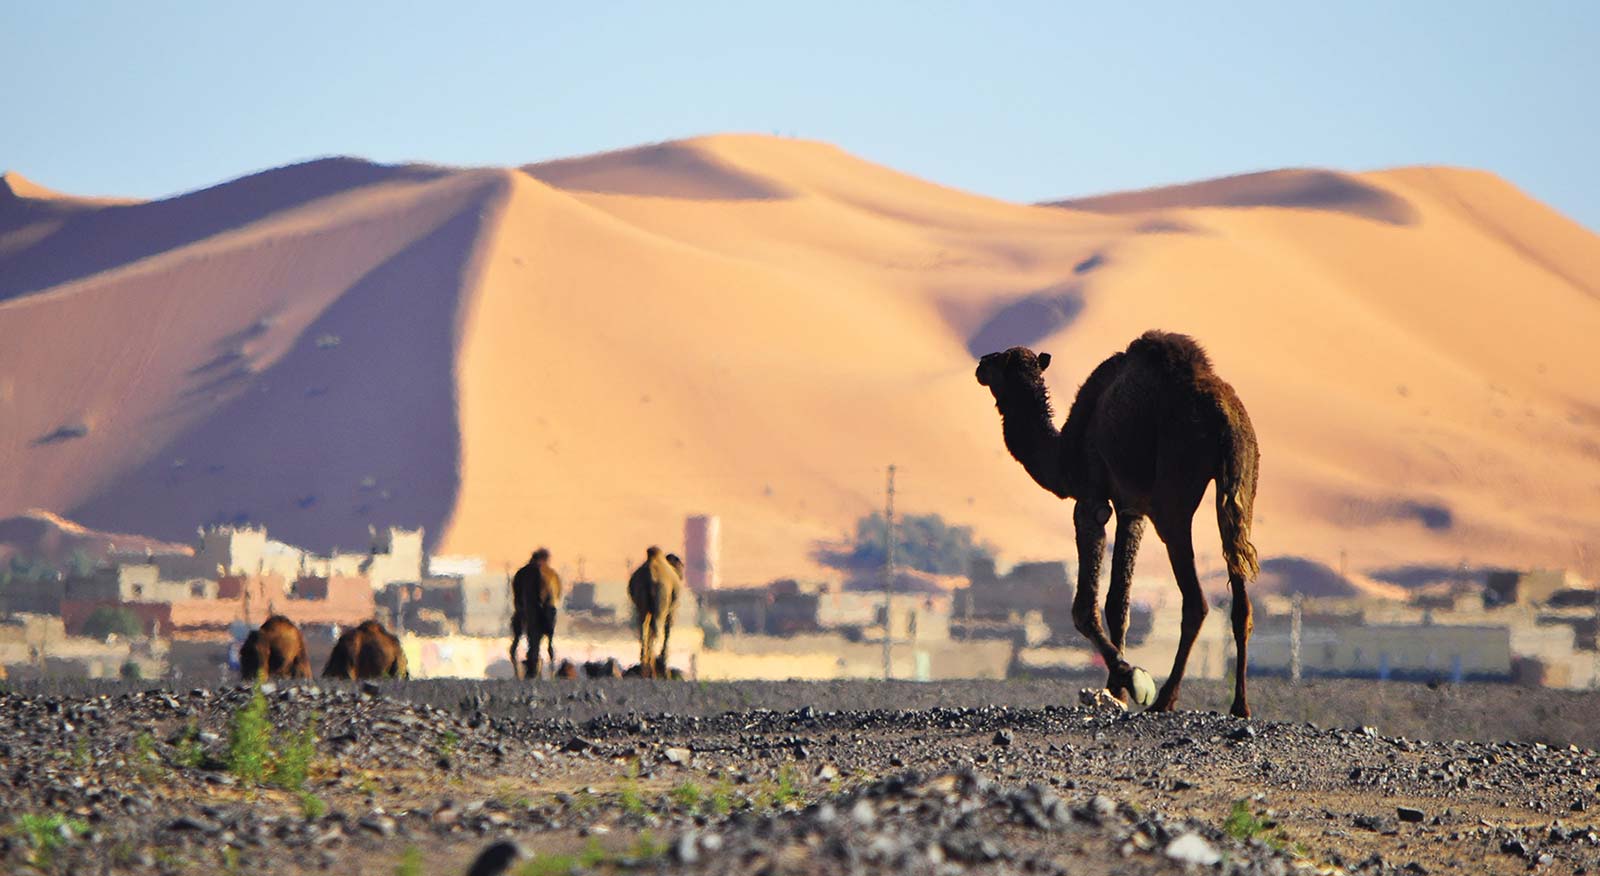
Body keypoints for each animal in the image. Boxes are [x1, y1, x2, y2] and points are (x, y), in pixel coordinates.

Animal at [627, 546, 684, 677]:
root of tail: (650, 577)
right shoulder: (672, 605)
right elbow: (668, 628)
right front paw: (664, 664)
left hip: (641, 593)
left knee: (643, 627)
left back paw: (644, 666)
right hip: (662, 593)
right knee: (656, 627)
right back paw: (652, 668)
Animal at [972, 332, 1260, 716]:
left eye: (999, 361)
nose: (980, 364)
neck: (1065, 451)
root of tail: (1223, 413)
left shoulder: (1091, 500)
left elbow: (1084, 607)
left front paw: (1133, 678)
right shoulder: (1130, 508)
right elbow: (1118, 604)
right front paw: (1116, 691)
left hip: (1174, 487)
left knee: (1195, 601)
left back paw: (1165, 699)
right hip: (1243, 484)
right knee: (1240, 597)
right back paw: (1240, 705)